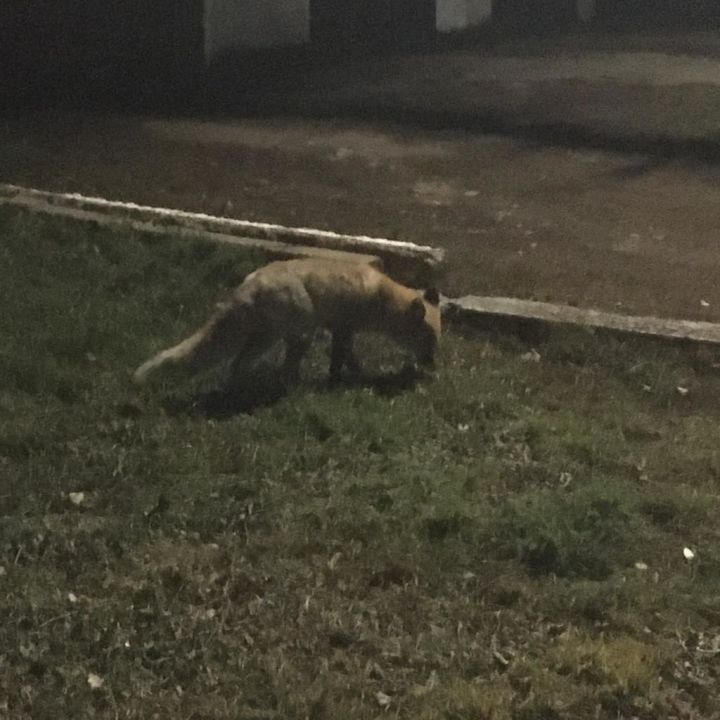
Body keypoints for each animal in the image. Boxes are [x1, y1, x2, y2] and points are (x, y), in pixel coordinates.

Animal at [132, 256, 442, 386]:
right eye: (428, 339)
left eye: (436, 341)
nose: (432, 366)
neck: (380, 296)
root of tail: (248, 285)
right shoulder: (343, 327)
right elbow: (343, 360)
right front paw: (350, 379)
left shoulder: (342, 330)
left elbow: (341, 359)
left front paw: (344, 378)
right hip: (300, 337)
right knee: (284, 371)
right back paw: (291, 389)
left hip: (264, 339)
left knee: (236, 365)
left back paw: (244, 387)